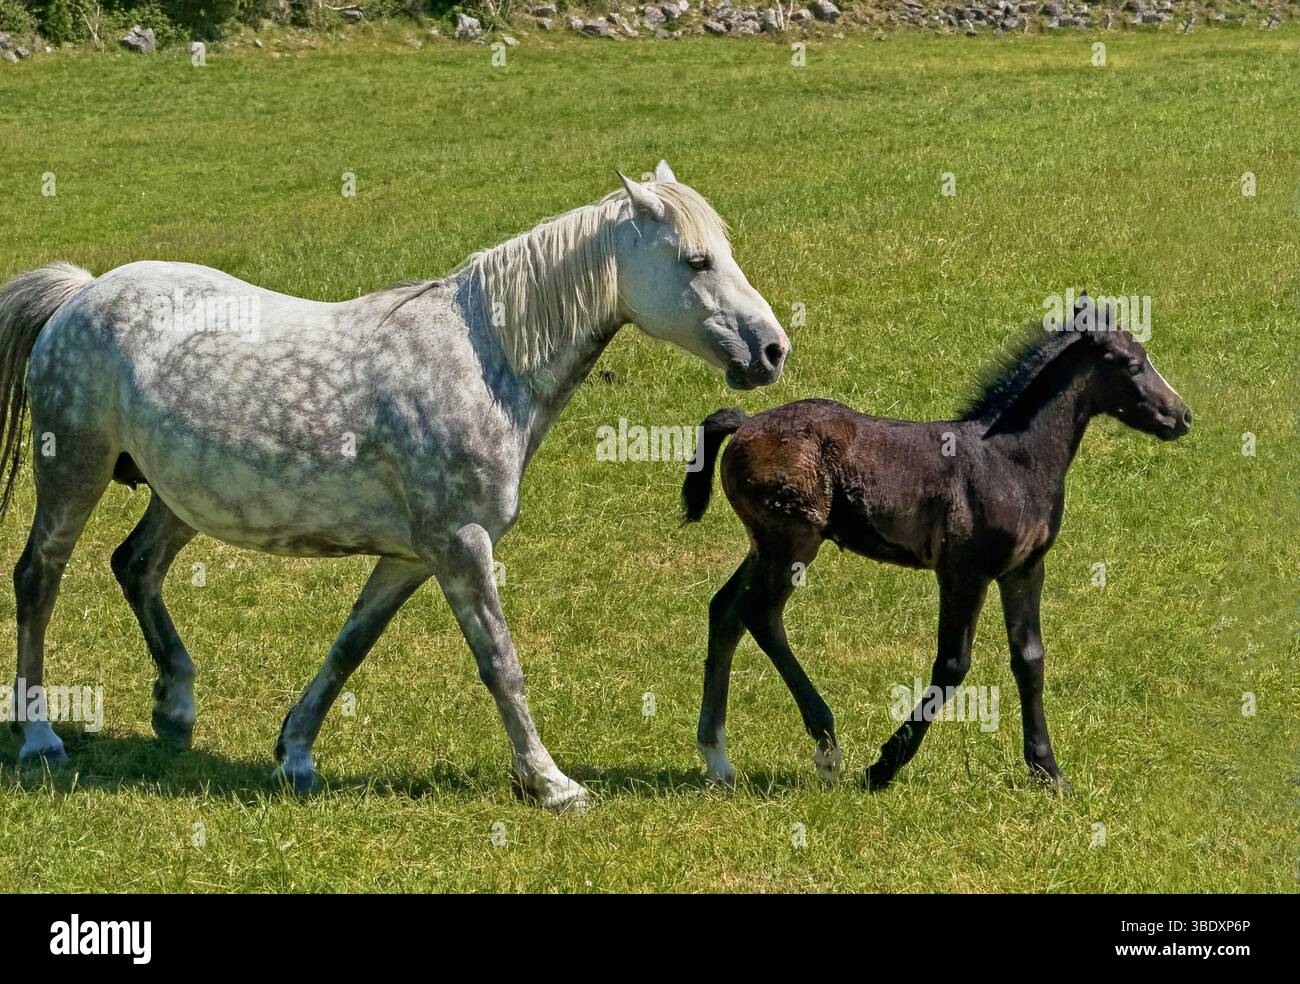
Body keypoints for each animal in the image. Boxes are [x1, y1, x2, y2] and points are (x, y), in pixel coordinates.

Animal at [0, 160, 789, 811]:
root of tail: (81, 294)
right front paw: (550, 782)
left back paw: (176, 707)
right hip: (72, 471)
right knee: (39, 578)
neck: (483, 362)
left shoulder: (412, 558)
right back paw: (39, 738)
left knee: (135, 566)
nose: (773, 348)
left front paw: (295, 754)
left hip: (180, 499)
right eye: (696, 260)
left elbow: (350, 647)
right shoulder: (461, 547)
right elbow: (501, 663)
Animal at [680, 296, 1191, 794]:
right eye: (1132, 363)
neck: (1012, 461)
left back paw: (717, 758)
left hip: (765, 546)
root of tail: (745, 423)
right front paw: (883, 767)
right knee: (759, 615)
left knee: (725, 610)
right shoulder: (964, 572)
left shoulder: (1024, 569)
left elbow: (1029, 659)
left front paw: (1048, 771)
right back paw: (826, 746)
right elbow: (952, 664)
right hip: (791, 543)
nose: (1182, 416)